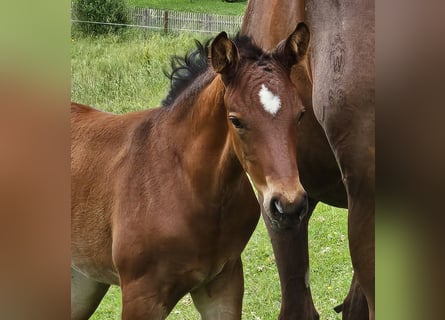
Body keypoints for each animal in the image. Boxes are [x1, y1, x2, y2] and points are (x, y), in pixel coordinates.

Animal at [71, 25, 310, 320]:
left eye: (300, 114)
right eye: (236, 120)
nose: (288, 206)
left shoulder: (223, 284)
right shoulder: (141, 296)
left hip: (83, 279)